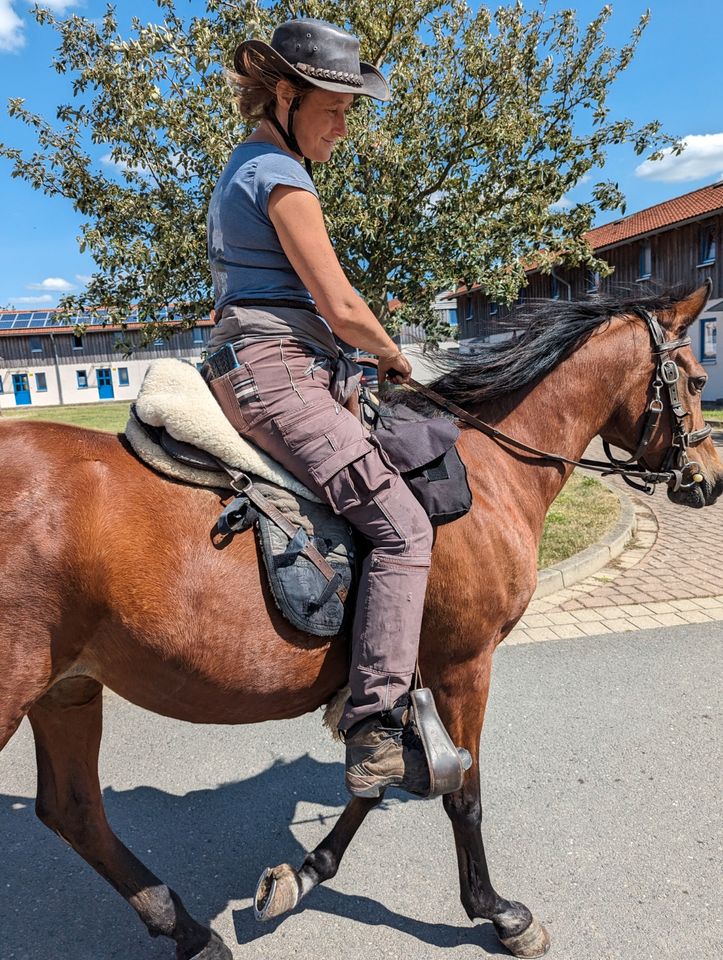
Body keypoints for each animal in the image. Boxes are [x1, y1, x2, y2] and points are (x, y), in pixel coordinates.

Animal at [0, 284, 720, 960]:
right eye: (694, 380)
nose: (709, 478)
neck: (490, 475)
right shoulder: (463, 665)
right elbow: (463, 792)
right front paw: (497, 912)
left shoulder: (399, 674)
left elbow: (374, 779)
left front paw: (307, 872)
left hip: (67, 689)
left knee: (74, 811)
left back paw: (188, 931)